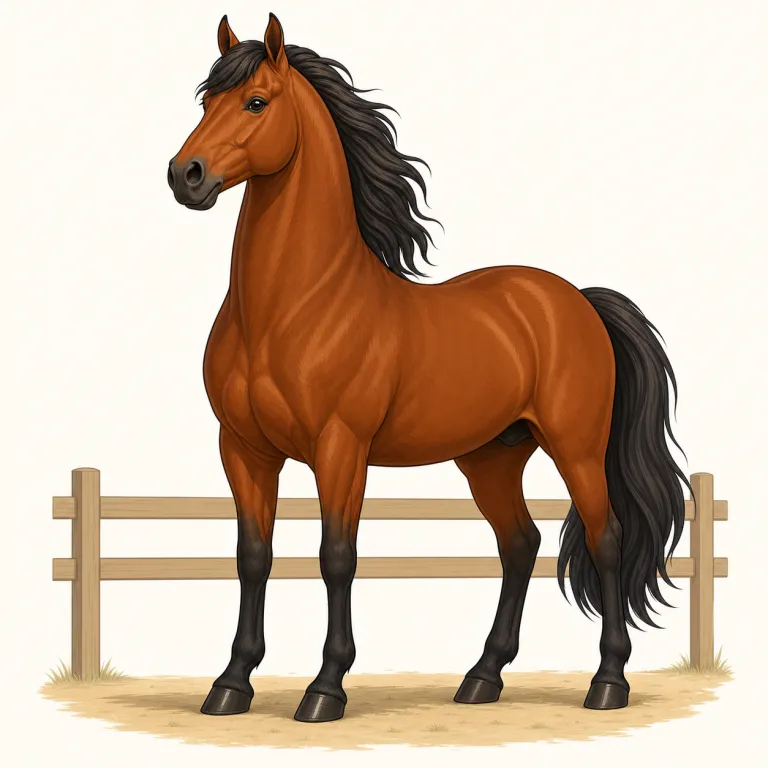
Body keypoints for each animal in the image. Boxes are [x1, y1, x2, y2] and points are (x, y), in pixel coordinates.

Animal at [167, 12, 690, 723]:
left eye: (255, 102)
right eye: (205, 104)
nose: (185, 175)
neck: (292, 307)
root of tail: (576, 299)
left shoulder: (341, 448)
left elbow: (337, 557)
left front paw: (325, 689)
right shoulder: (244, 448)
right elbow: (253, 557)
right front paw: (231, 684)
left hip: (577, 448)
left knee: (604, 539)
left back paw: (607, 683)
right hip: (492, 457)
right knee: (519, 544)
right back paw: (482, 678)